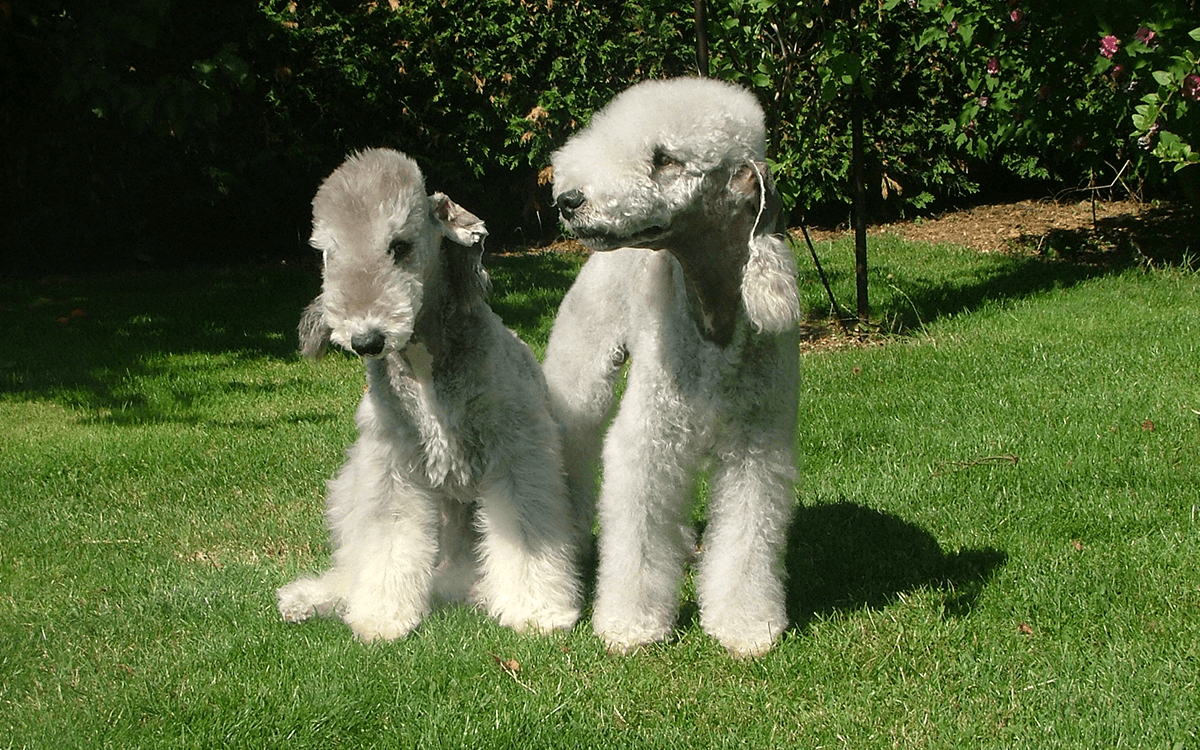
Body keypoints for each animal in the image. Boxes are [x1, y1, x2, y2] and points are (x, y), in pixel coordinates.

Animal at [278, 149, 583, 638]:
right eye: (327, 253)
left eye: (399, 246)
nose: (366, 340)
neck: (425, 366)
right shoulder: (392, 466)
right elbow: (386, 541)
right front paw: (382, 615)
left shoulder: (517, 452)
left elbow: (526, 530)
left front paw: (537, 610)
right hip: (353, 482)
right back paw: (312, 598)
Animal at [544, 77, 796, 652]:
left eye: (666, 159)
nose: (568, 201)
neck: (714, 317)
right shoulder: (649, 439)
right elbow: (636, 532)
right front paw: (630, 626)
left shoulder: (757, 446)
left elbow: (749, 535)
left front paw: (746, 625)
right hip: (581, 370)